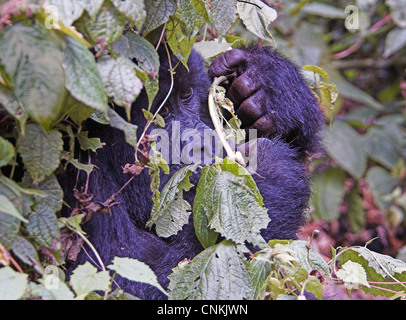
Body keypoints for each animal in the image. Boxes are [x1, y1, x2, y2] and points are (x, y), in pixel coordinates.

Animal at [61, 43, 324, 298]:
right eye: (162, 112)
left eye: (186, 94)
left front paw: (269, 81)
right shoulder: (85, 184)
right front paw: (272, 171)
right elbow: (124, 283)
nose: (203, 142)